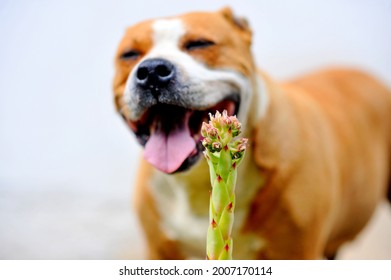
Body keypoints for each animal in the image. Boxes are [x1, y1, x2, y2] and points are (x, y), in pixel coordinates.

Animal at [112, 7, 391, 260]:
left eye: (200, 43)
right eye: (129, 54)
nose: (152, 71)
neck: (197, 183)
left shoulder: (295, 252)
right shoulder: (159, 251)